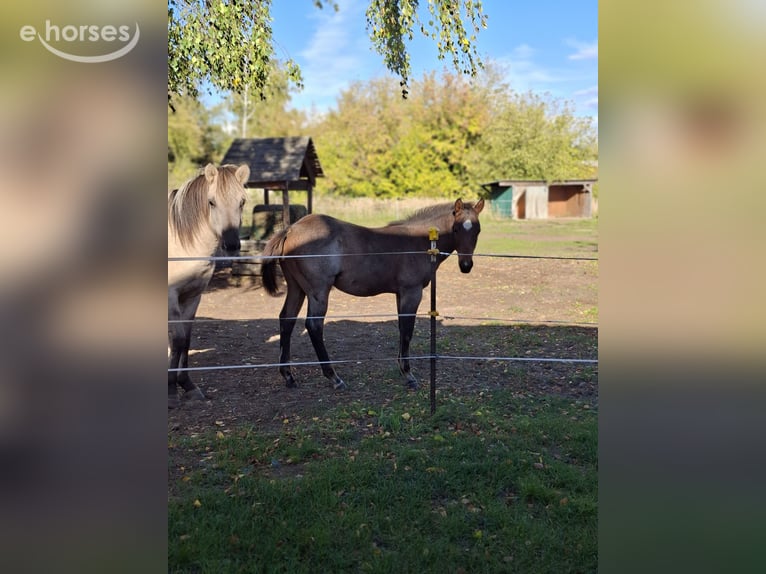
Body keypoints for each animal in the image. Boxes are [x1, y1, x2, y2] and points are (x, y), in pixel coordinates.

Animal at [168, 163, 250, 409]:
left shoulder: (193, 296)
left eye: (242, 202)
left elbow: (186, 340)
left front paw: (188, 386)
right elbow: (178, 339)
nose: (231, 245)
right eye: (211, 202)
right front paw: (171, 392)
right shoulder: (171, 297)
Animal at [261, 198, 484, 390]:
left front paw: (402, 369)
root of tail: (291, 229)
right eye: (456, 229)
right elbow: (408, 330)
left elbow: (402, 328)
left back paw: (288, 376)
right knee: (314, 325)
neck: (420, 242)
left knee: (286, 320)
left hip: (296, 288)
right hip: (318, 291)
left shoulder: (400, 294)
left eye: (478, 230)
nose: (466, 266)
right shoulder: (412, 292)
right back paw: (334, 377)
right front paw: (408, 374)